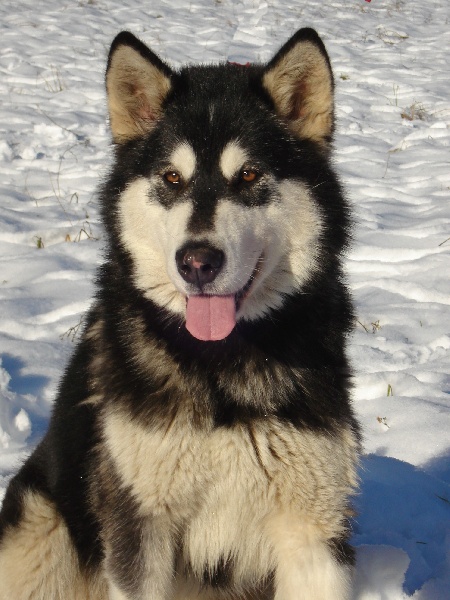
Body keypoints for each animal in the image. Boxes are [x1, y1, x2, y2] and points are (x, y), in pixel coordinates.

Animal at [0, 28, 358, 600]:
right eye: (171, 177)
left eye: (249, 175)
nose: (198, 262)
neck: (220, 369)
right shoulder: (139, 525)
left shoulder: (313, 530)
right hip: (42, 526)